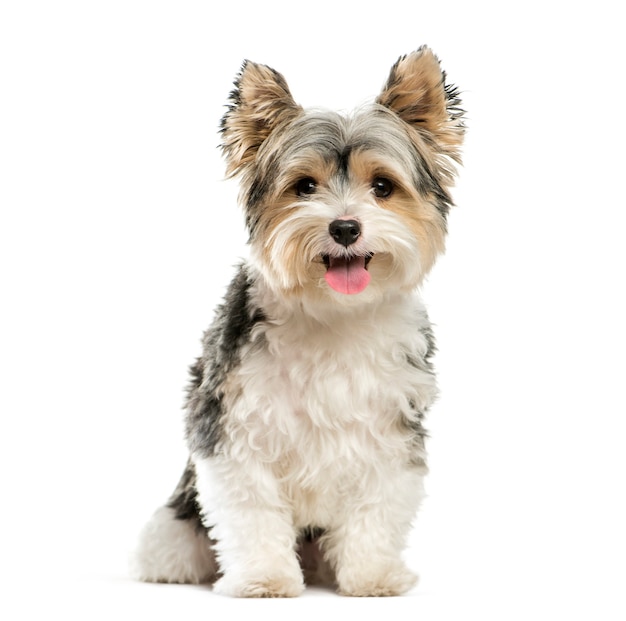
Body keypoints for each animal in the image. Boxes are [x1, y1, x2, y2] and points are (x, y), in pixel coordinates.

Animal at [130, 46, 464, 600]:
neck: (332, 313)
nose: (345, 227)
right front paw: (264, 578)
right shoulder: (234, 429)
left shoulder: (391, 432)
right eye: (304, 186)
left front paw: (372, 576)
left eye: (383, 186)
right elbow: (253, 512)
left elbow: (377, 509)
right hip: (176, 521)